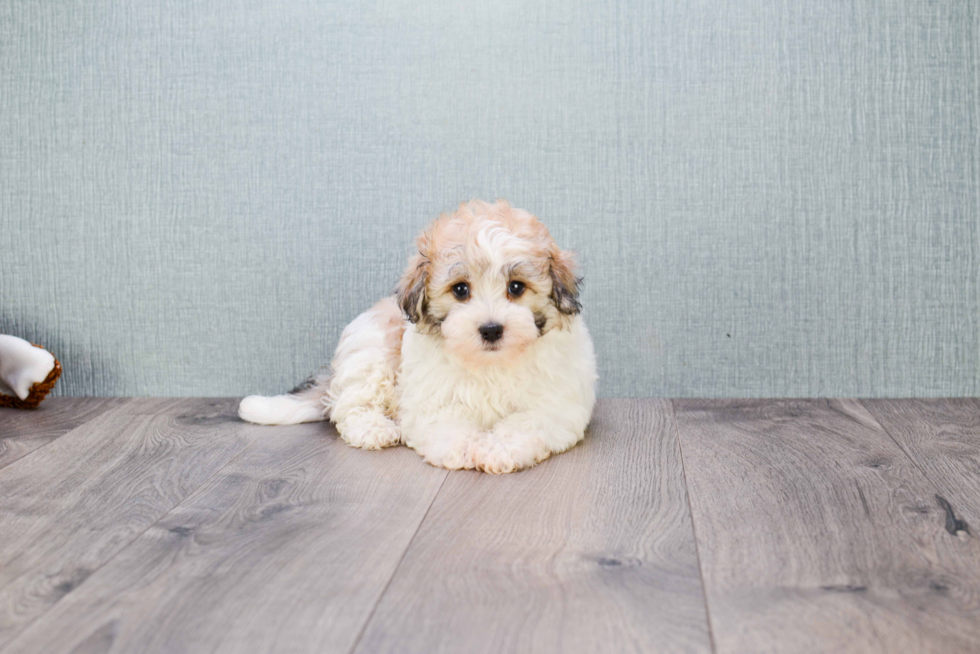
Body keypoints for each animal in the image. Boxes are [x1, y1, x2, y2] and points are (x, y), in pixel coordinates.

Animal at [241, 199, 600, 472]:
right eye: (460, 290)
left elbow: (525, 423)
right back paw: (375, 429)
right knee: (350, 405)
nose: (491, 329)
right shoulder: (433, 401)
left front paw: (497, 449)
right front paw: (464, 446)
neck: (489, 365)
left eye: (516, 287)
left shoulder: (553, 404)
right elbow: (447, 423)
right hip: (371, 351)